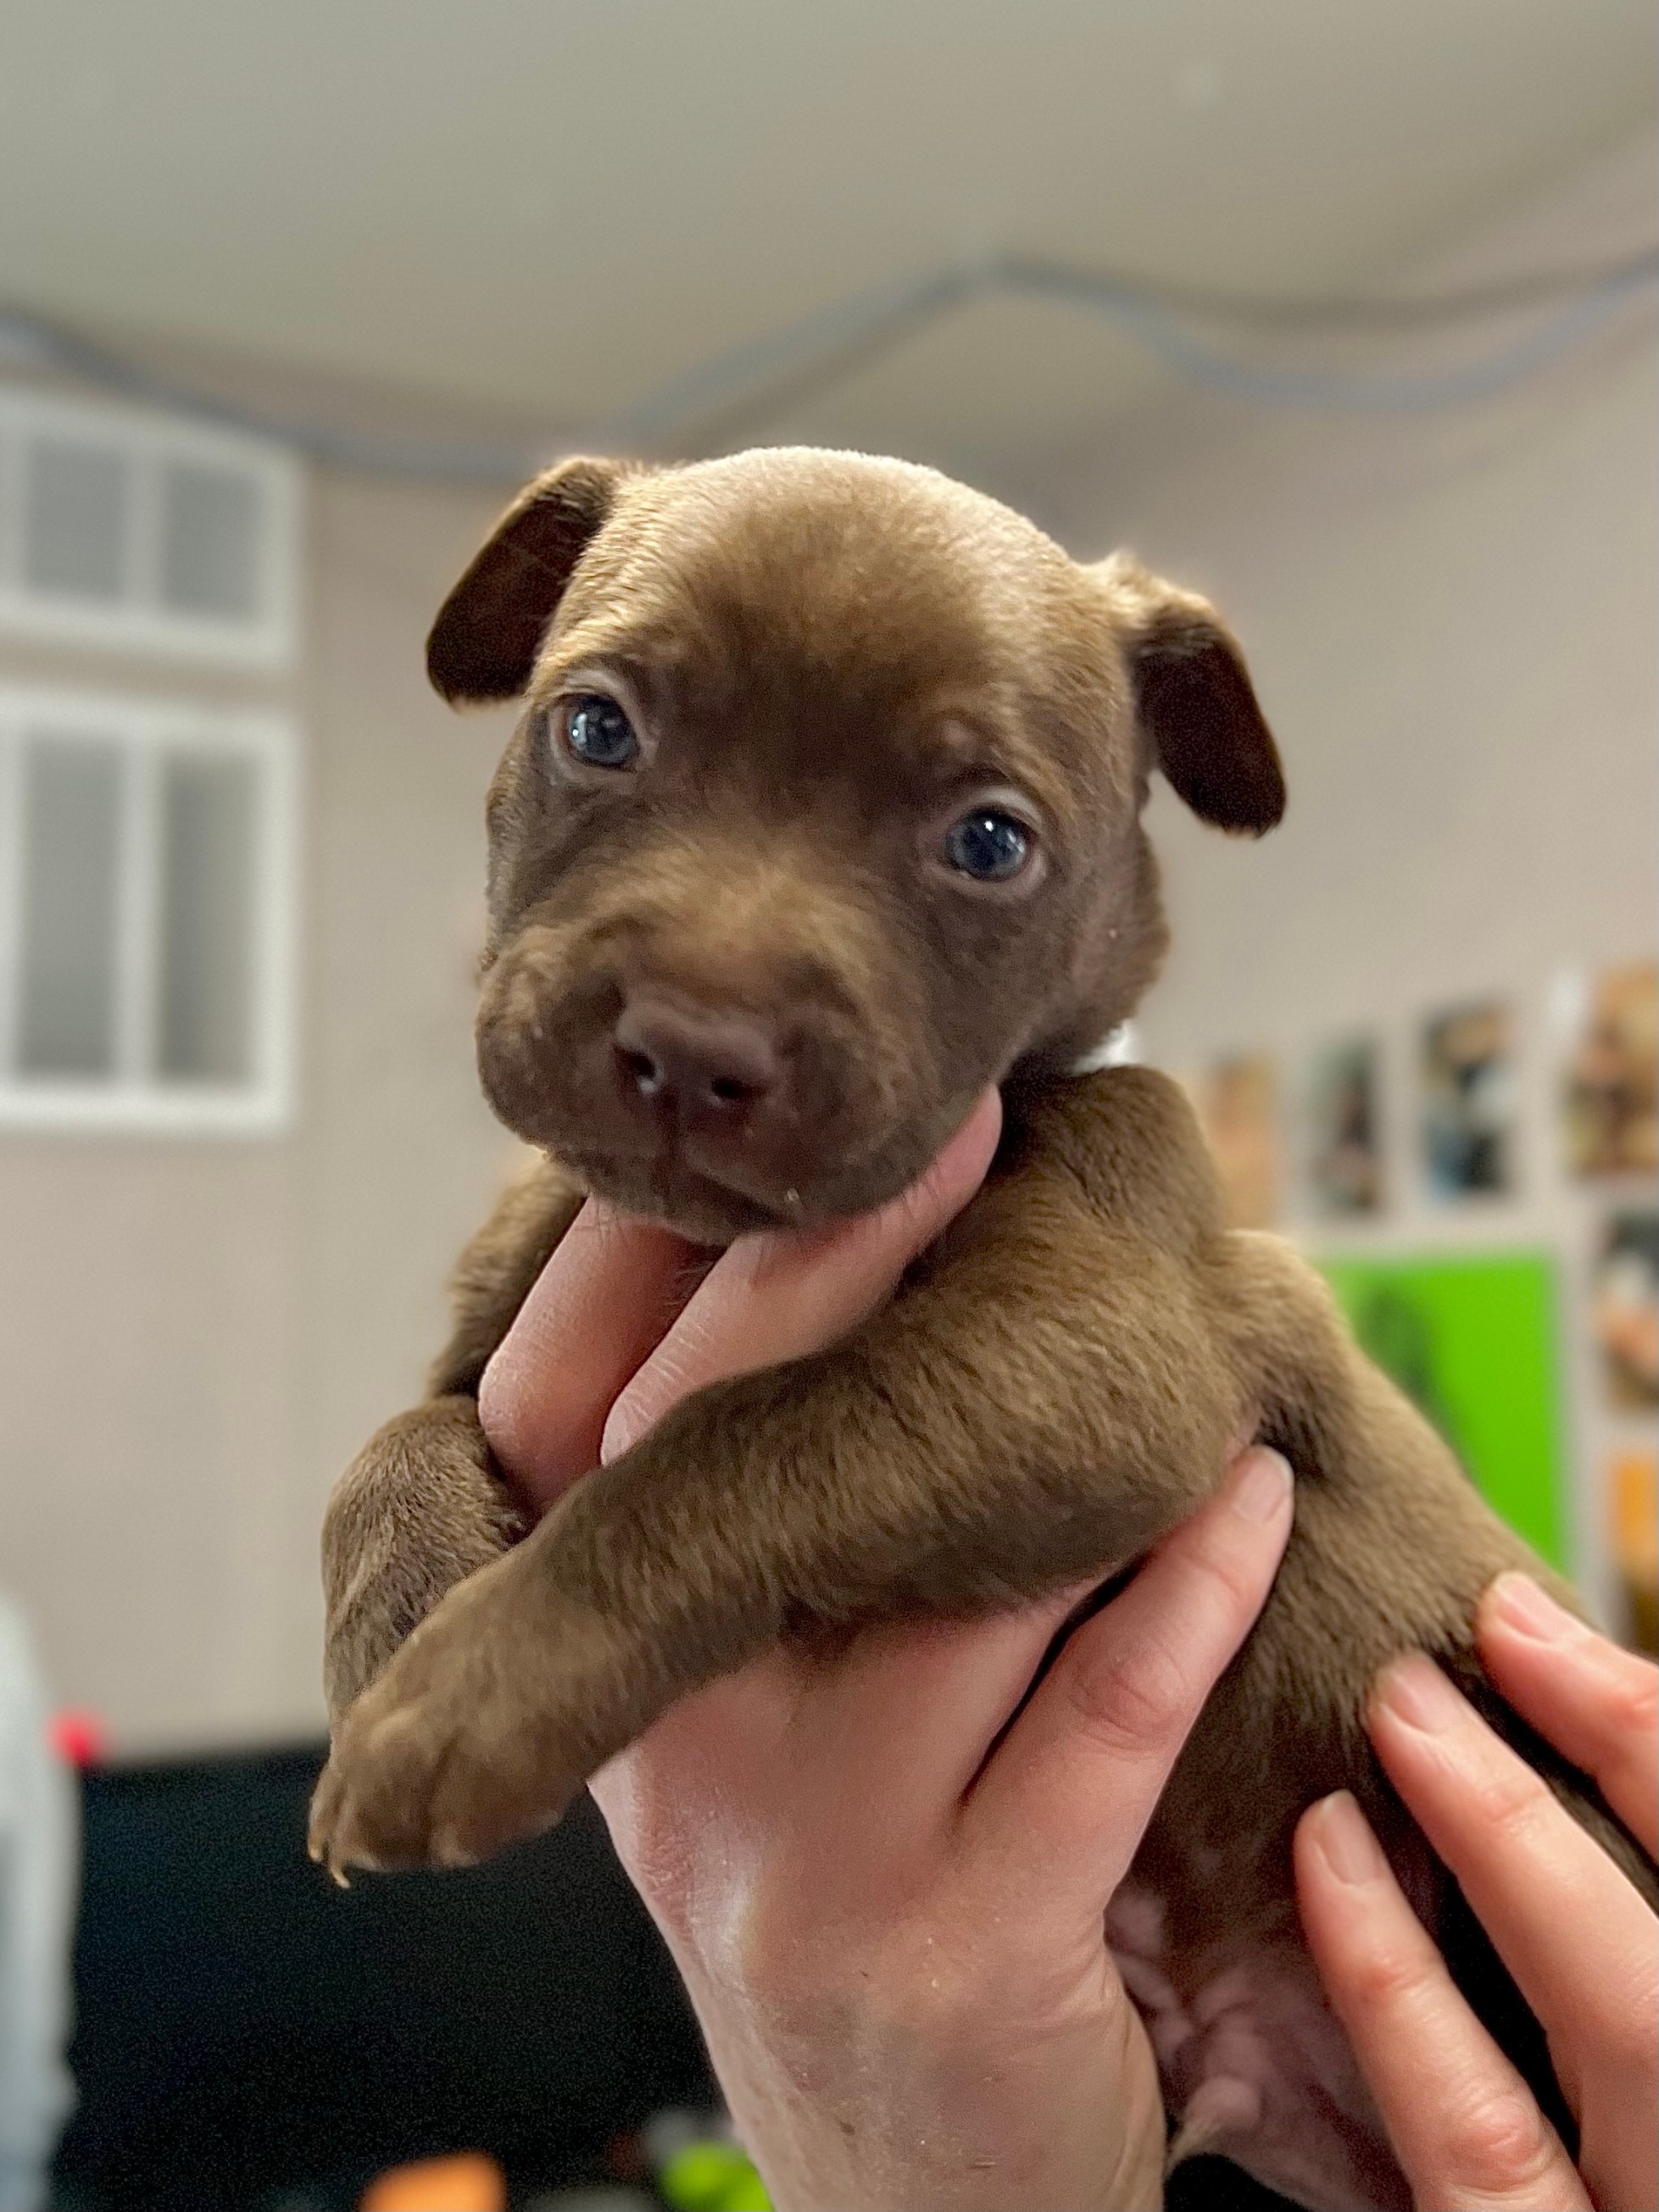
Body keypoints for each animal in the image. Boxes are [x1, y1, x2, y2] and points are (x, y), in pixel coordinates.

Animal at [309, 448, 1654, 2212]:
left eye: (990, 841)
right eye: (595, 728)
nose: (690, 1049)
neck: (696, 1247)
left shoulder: (1096, 1358)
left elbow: (718, 1446)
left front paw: (463, 1696)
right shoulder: (501, 1330)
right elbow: (390, 1446)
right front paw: (399, 1621)